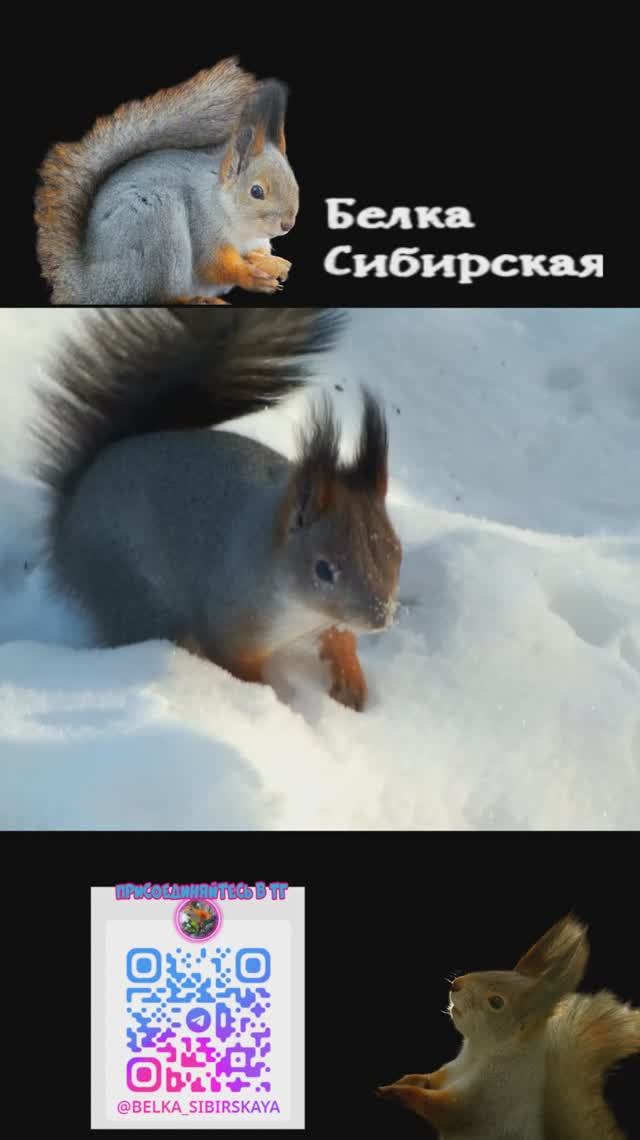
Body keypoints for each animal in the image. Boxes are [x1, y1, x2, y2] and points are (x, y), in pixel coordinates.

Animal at [32, 307, 402, 712]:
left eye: (396, 552)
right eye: (322, 569)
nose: (380, 617)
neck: (301, 613)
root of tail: (71, 504)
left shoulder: (329, 622)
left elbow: (341, 641)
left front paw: (351, 683)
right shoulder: (231, 622)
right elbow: (239, 667)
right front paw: (270, 701)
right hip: (127, 591)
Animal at [34, 58, 299, 305]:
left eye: (295, 185)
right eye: (256, 191)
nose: (287, 225)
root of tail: (93, 285)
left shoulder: (255, 242)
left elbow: (256, 254)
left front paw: (272, 263)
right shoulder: (204, 227)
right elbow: (213, 266)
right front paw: (252, 277)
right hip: (159, 226)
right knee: (160, 296)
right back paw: (197, 300)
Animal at [376, 915, 640, 1140]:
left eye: (496, 1002)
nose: (455, 984)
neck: (478, 1052)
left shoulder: (485, 1098)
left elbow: (445, 1110)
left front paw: (397, 1093)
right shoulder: (452, 1070)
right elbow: (431, 1079)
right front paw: (407, 1079)